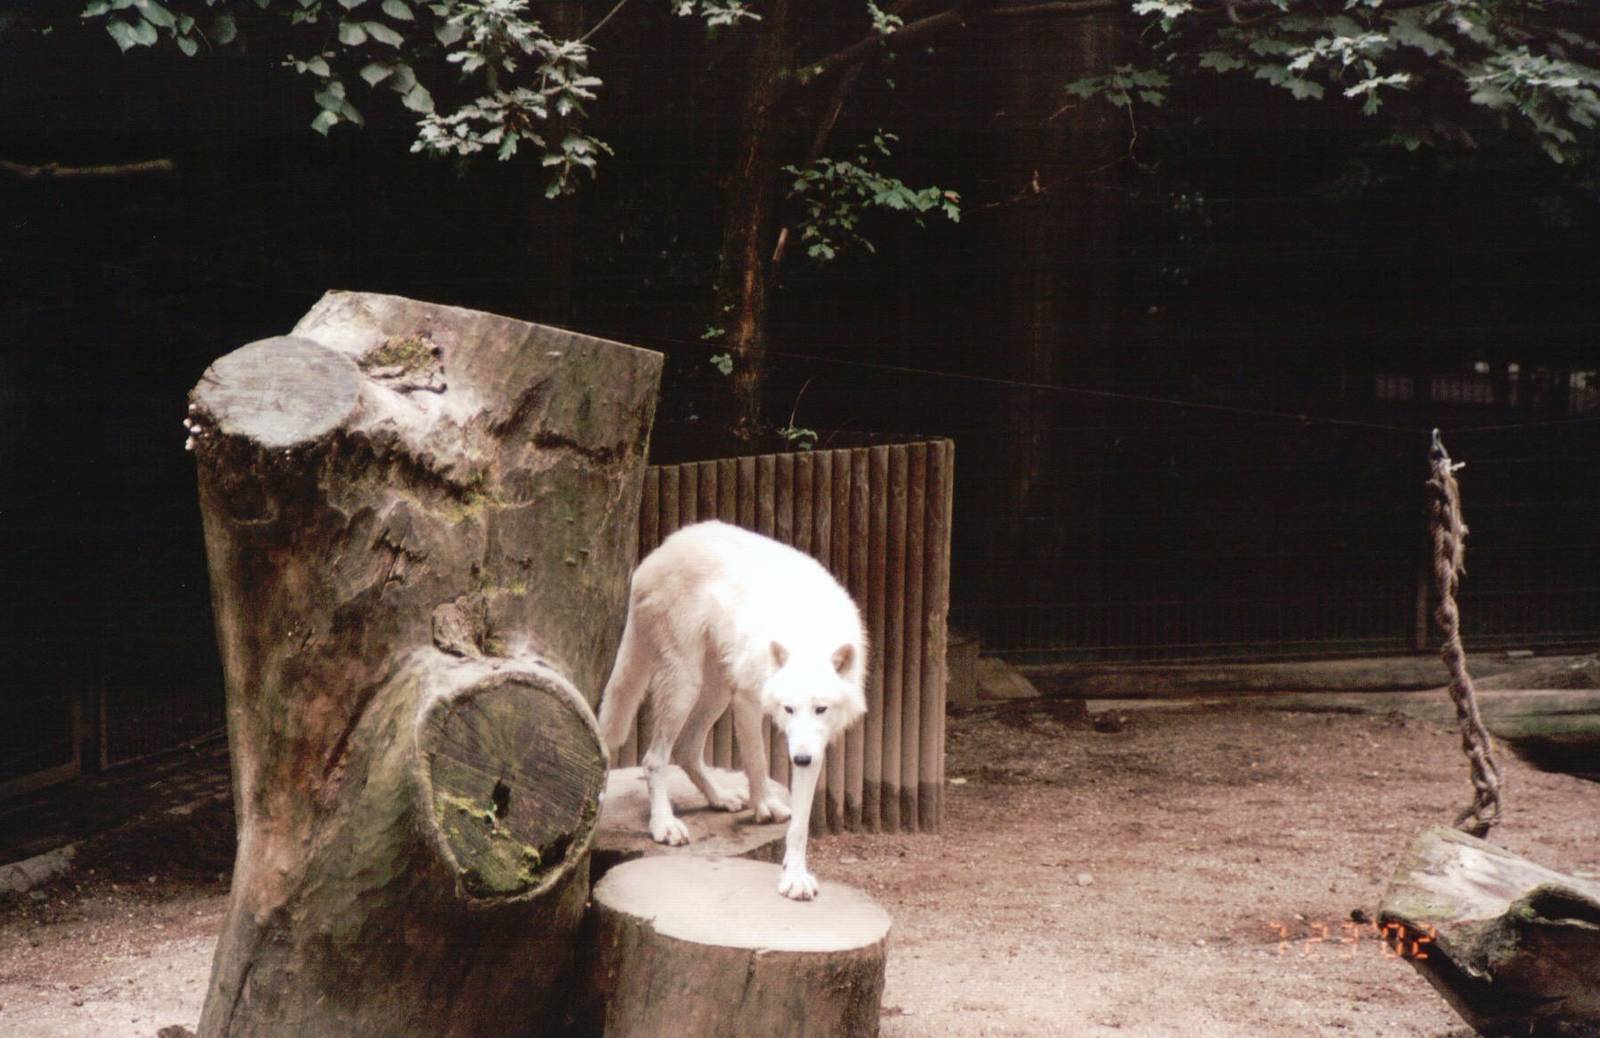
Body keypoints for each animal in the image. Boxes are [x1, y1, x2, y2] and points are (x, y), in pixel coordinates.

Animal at [598, 520, 868, 900]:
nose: (800, 760)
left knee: (686, 748)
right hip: (686, 685)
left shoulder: (814, 743)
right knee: (654, 759)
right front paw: (764, 806)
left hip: (717, 690)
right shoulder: (748, 699)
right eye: (788, 708)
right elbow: (756, 760)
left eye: (821, 709)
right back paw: (664, 824)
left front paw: (795, 876)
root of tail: (659, 551)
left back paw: (721, 798)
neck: (806, 634)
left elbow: (800, 824)